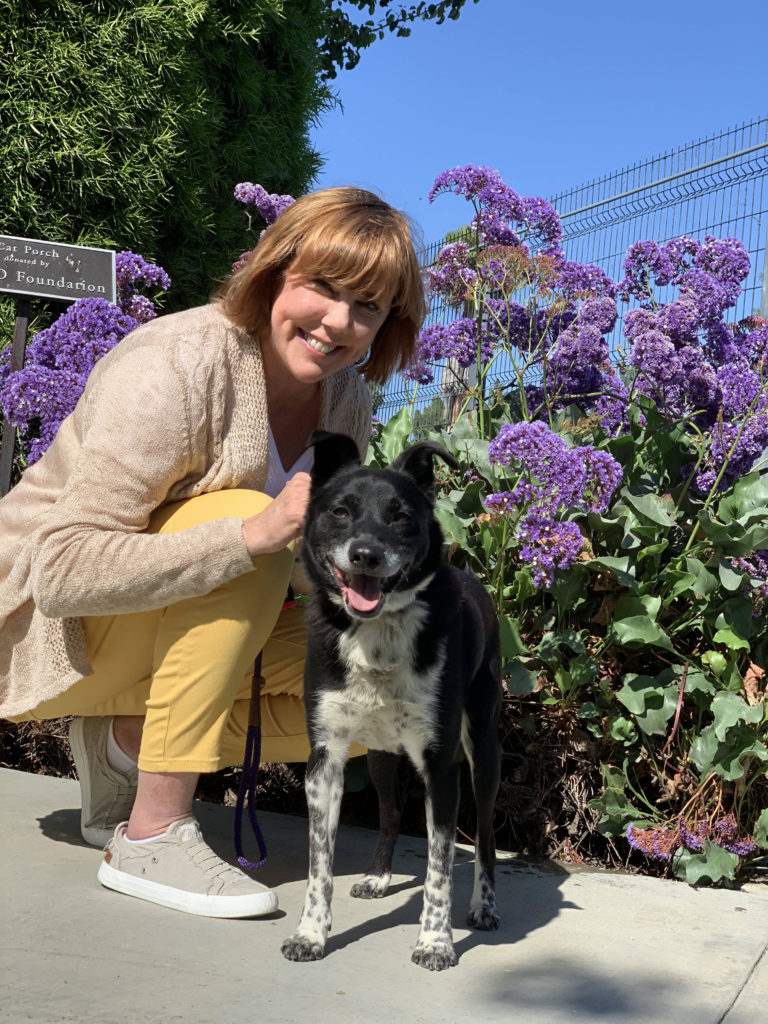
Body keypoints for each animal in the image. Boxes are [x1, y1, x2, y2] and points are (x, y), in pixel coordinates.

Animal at [282, 430, 505, 966]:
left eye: (401, 515)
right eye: (341, 511)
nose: (365, 554)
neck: (378, 631)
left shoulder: (442, 765)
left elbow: (439, 867)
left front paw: (435, 941)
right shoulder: (326, 759)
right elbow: (320, 863)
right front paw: (311, 934)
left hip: (482, 747)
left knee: (486, 832)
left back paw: (485, 905)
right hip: (380, 752)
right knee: (389, 810)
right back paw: (380, 876)